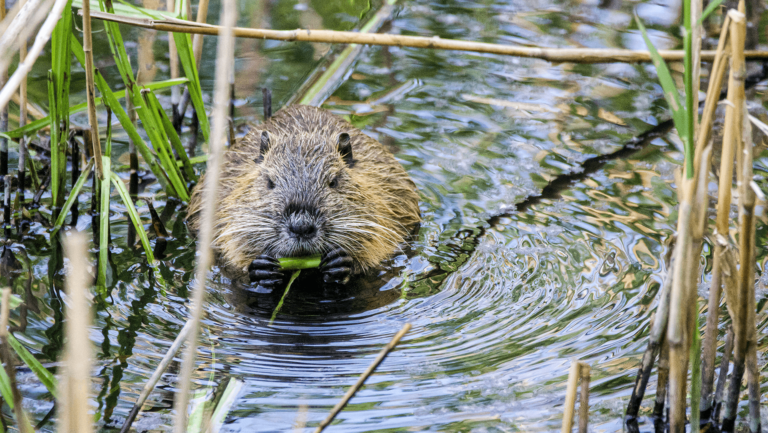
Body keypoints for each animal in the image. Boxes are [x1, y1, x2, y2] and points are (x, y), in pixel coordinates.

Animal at [190, 104, 424, 286]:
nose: (301, 227)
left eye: (334, 181)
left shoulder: (386, 195)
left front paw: (341, 263)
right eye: (269, 182)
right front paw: (261, 267)